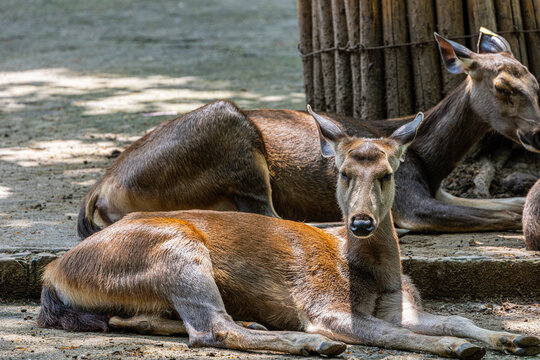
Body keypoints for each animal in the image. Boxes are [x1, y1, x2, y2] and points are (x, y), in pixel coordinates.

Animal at [39, 111, 540, 358]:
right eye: (341, 172)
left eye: (387, 173)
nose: (361, 223)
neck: (373, 277)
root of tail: (53, 275)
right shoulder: (323, 306)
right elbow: (393, 334)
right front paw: (459, 348)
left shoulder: (404, 307)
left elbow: (453, 318)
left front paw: (512, 338)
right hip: (175, 251)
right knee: (210, 330)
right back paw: (310, 344)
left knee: (150, 321)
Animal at [76, 28, 540, 239]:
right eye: (503, 87)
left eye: (535, 80)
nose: (537, 135)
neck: (430, 160)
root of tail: (99, 193)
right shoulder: (412, 201)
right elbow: (503, 213)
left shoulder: (437, 191)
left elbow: (506, 203)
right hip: (235, 142)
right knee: (270, 218)